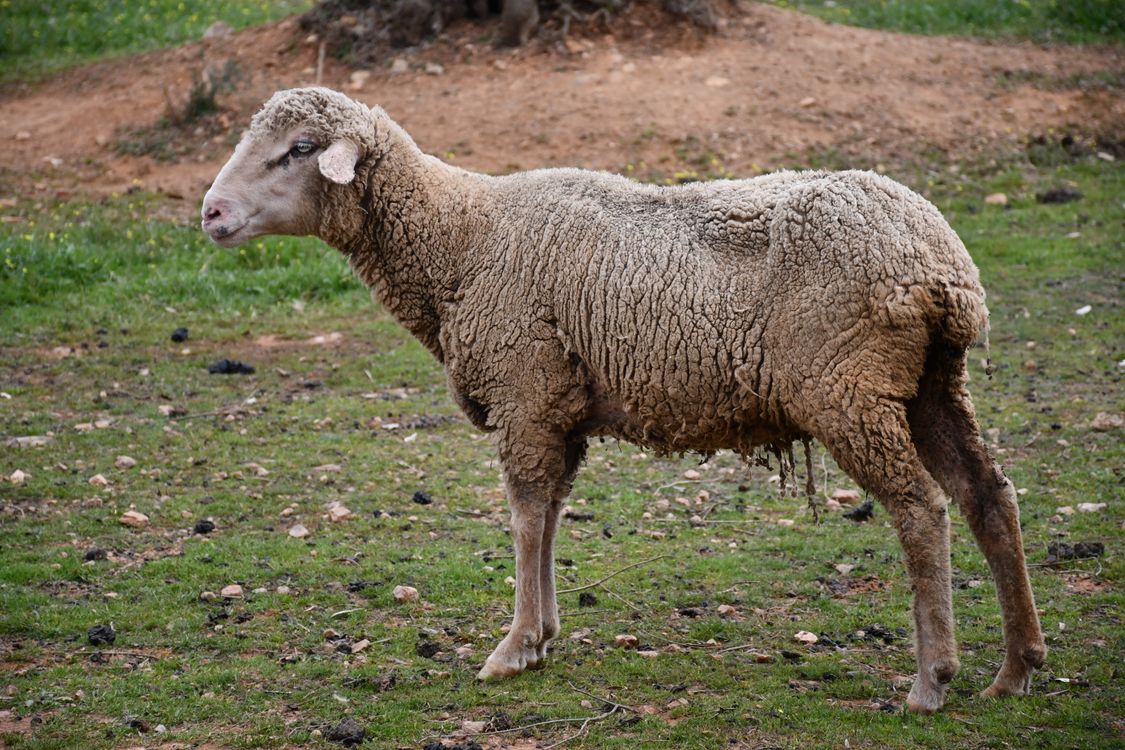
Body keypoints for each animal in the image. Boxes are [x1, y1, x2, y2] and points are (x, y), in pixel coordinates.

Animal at [201, 87, 1045, 714]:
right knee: (986, 495)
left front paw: (514, 646)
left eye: (299, 149)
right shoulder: (558, 403)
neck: (458, 239)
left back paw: (931, 680)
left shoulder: (526, 387)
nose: (209, 212)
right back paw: (1015, 667)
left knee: (920, 510)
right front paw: (541, 636)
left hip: (847, 387)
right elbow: (547, 515)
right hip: (930, 382)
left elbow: (523, 517)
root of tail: (941, 266)